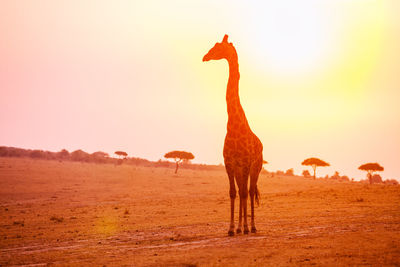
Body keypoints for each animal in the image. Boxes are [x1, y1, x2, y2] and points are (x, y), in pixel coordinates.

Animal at [202, 35, 264, 237]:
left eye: (218, 47)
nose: (205, 57)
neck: (234, 125)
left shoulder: (245, 163)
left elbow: (244, 193)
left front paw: (245, 226)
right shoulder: (230, 163)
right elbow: (232, 192)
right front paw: (230, 228)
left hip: (256, 167)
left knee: (250, 191)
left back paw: (251, 226)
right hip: (240, 169)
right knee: (242, 191)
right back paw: (240, 227)